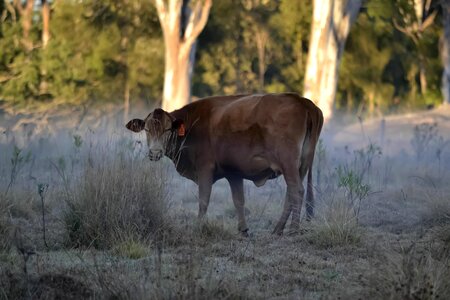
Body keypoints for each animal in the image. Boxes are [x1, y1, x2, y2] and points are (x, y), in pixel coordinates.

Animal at [126, 92, 324, 236]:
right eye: (147, 129)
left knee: (297, 191)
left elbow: (203, 200)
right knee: (291, 193)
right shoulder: (233, 172)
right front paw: (243, 230)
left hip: (288, 163)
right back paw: (278, 229)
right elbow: (239, 201)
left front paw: (198, 226)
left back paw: (293, 229)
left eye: (168, 129)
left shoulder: (205, 168)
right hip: (301, 166)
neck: (192, 125)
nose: (155, 152)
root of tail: (302, 101)